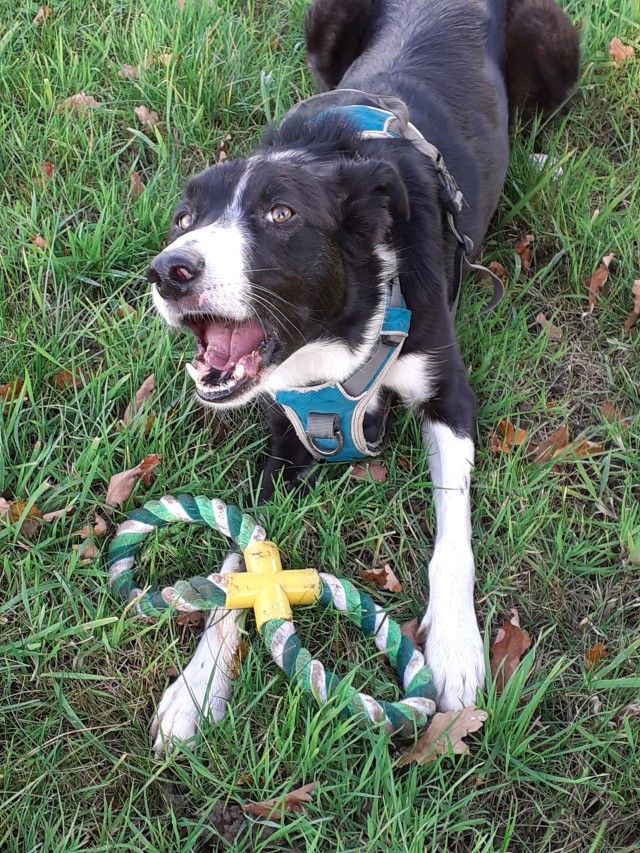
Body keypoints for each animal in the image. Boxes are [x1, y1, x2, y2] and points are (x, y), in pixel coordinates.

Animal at [149, 0, 580, 752]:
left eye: (280, 213)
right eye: (184, 218)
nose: (168, 270)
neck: (340, 330)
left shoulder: (449, 395)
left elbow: (452, 535)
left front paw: (457, 648)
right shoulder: (283, 437)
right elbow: (240, 557)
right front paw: (197, 687)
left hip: (559, 46)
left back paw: (543, 159)